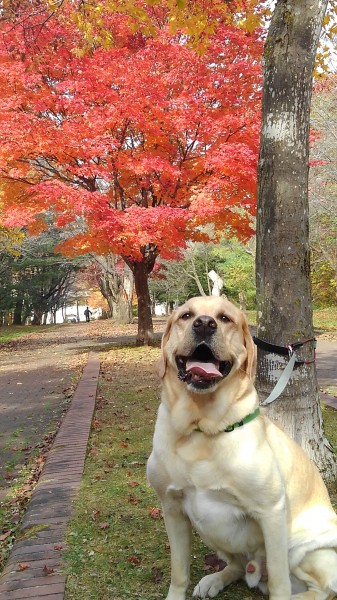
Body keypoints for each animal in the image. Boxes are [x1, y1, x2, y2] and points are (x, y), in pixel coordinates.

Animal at [146, 296, 336, 600]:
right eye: (186, 316)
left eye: (225, 318)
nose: (204, 324)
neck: (202, 427)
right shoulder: (172, 509)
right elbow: (179, 572)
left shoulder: (271, 512)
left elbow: (280, 583)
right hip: (211, 532)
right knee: (236, 566)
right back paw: (214, 580)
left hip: (300, 543)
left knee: (322, 589)